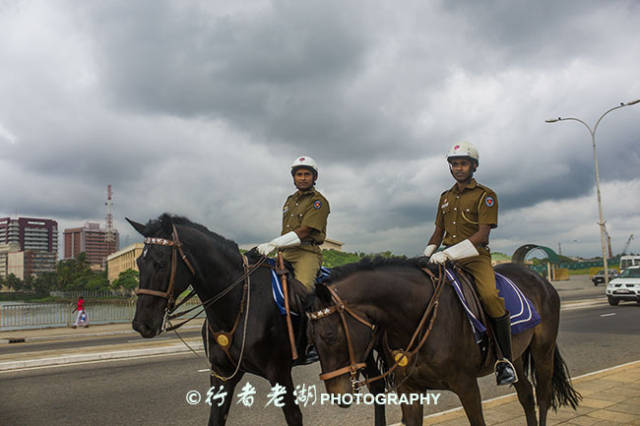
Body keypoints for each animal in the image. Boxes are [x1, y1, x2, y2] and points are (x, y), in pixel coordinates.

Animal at [126, 215, 384, 426]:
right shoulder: (222, 374)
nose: (141, 324)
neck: (236, 304)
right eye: (139, 263)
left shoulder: (279, 373)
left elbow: (294, 417)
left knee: (377, 386)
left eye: (161, 263)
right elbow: (216, 418)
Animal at [308, 256, 584, 426]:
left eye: (329, 336)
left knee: (543, 395)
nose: (338, 396)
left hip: (542, 351)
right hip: (513, 355)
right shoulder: (410, 390)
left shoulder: (467, 385)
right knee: (526, 393)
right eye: (310, 342)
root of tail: (538, 277)